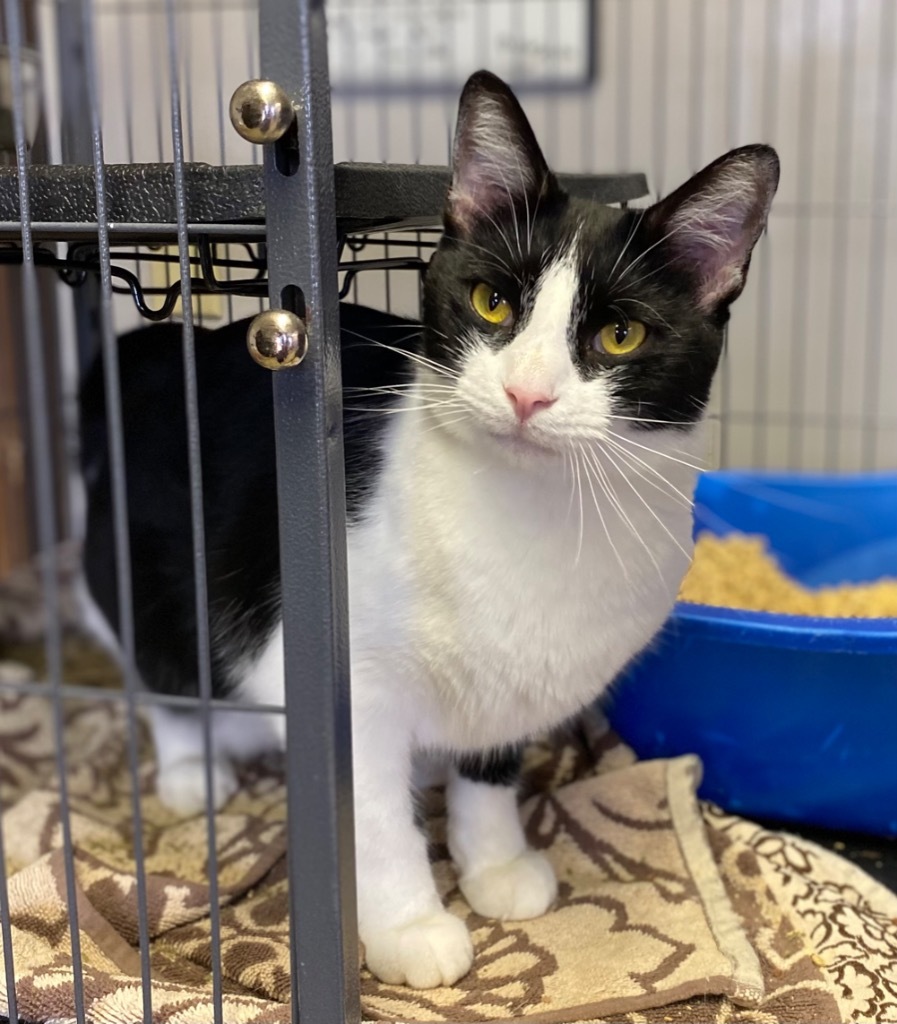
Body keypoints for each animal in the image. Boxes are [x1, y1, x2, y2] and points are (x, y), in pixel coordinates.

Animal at [78, 74, 778, 991]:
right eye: (492, 301)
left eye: (619, 334)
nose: (526, 393)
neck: (530, 518)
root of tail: (152, 351)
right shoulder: (345, 681)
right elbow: (371, 818)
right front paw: (408, 925)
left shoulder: (522, 680)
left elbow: (490, 765)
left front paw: (495, 864)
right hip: (142, 566)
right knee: (160, 664)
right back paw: (195, 769)